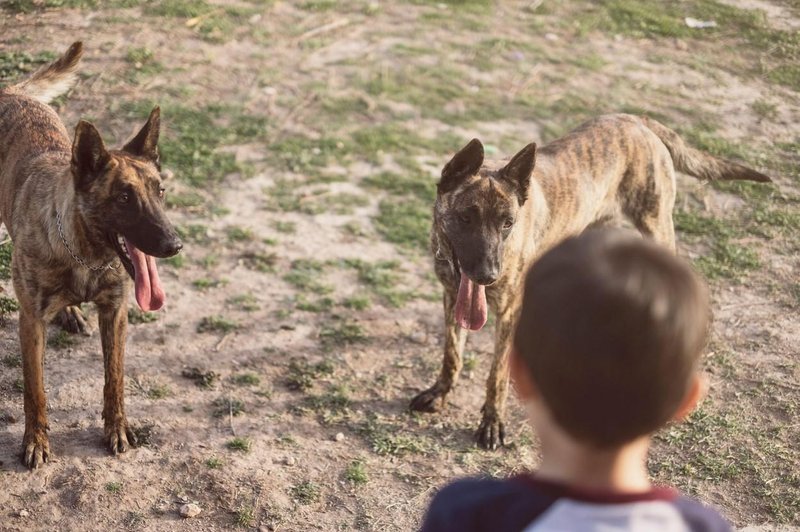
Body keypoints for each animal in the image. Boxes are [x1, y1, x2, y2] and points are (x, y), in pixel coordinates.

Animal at [410, 112, 772, 448]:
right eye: (465, 218)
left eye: (507, 223)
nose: (488, 275)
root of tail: (634, 119)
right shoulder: (451, 296)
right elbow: (452, 354)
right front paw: (440, 393)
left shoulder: (510, 312)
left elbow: (496, 374)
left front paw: (492, 422)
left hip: (655, 224)